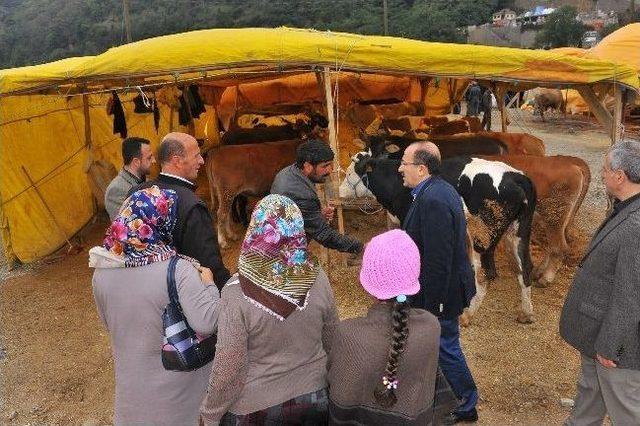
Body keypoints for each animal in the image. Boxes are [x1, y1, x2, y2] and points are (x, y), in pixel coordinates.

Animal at [342, 152, 536, 322]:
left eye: (351, 172)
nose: (340, 190)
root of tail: (517, 176)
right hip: (519, 232)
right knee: (525, 267)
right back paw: (526, 313)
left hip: (482, 238)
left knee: (486, 273)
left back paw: (467, 315)